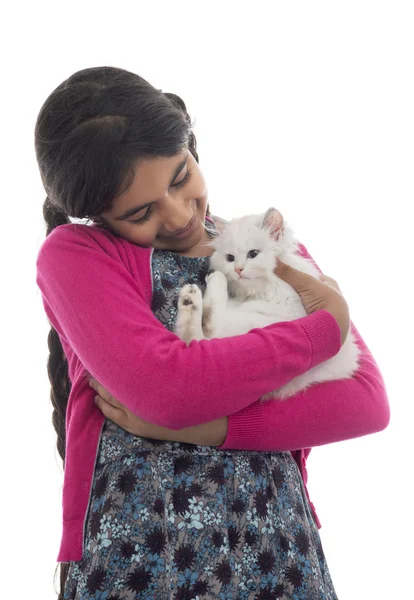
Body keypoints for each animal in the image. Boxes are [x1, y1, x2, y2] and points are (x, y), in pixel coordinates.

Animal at [175, 209, 360, 400]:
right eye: (230, 258)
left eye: (253, 254)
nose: (238, 270)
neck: (261, 288)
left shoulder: (287, 310)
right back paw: (191, 296)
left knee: (202, 332)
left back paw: (196, 291)